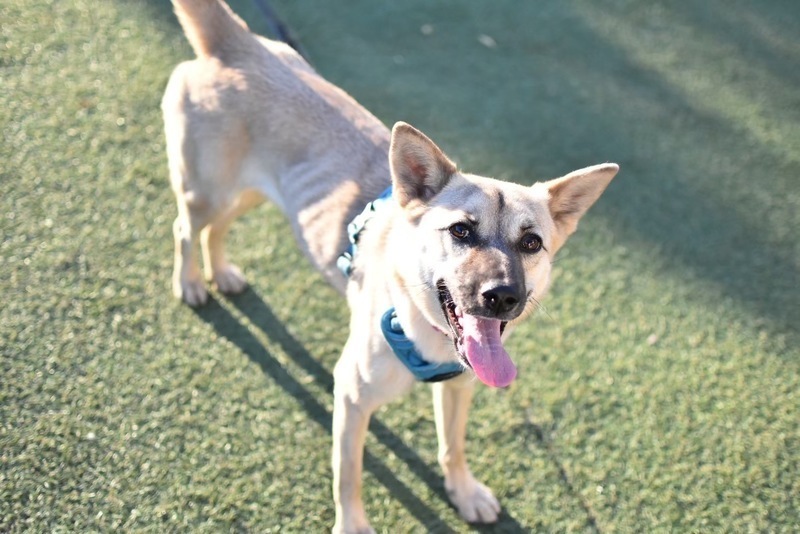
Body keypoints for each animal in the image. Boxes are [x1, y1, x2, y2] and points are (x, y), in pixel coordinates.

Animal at [163, 1, 618, 531]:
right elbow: (349, 474)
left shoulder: (460, 386)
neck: (424, 328)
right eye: (461, 231)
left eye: (531, 242)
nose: (502, 296)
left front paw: (463, 492)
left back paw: (222, 273)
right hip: (207, 190)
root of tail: (235, 42)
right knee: (185, 228)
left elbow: (452, 446)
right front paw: (352, 524)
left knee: (215, 229)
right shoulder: (351, 394)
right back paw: (191, 282)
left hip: (252, 193)